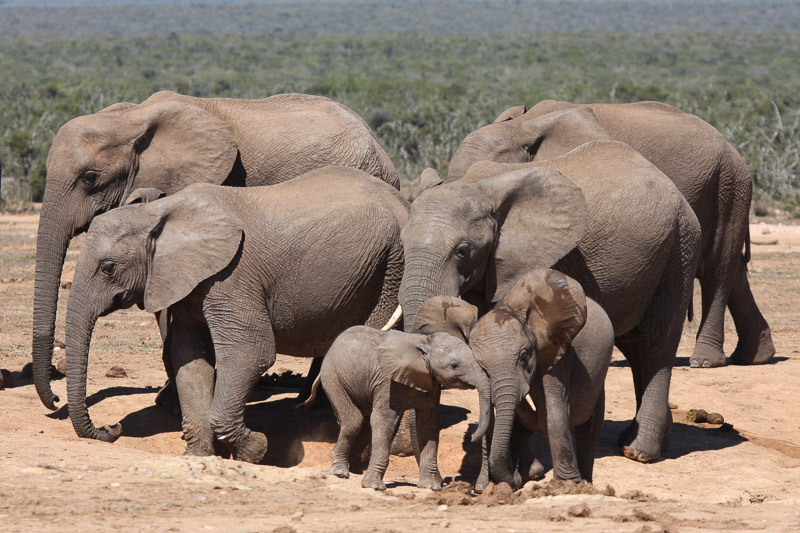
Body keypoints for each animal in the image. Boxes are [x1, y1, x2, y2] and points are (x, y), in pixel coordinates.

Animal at [306, 296, 494, 490]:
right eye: (454, 365)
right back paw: (340, 473)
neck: (424, 342)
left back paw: (356, 471)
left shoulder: (432, 384)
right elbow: (384, 421)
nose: (472, 436)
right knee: (354, 422)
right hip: (334, 377)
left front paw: (430, 487)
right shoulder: (386, 383)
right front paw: (374, 486)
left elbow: (428, 425)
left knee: (365, 424)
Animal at [400, 139, 700, 464]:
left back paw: (640, 451)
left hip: (679, 249)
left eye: (463, 250)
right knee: (634, 346)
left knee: (656, 341)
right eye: (401, 242)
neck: (476, 186)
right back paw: (633, 439)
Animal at [446, 100, 772, 368]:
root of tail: (733, 149)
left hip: (728, 186)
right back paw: (755, 356)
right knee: (734, 270)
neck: (523, 126)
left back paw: (705, 362)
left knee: (718, 268)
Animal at [472, 268, 616, 488]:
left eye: (524, 357)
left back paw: (586, 482)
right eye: (483, 369)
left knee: (590, 426)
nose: (514, 478)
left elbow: (552, 409)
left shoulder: (558, 352)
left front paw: (567, 485)